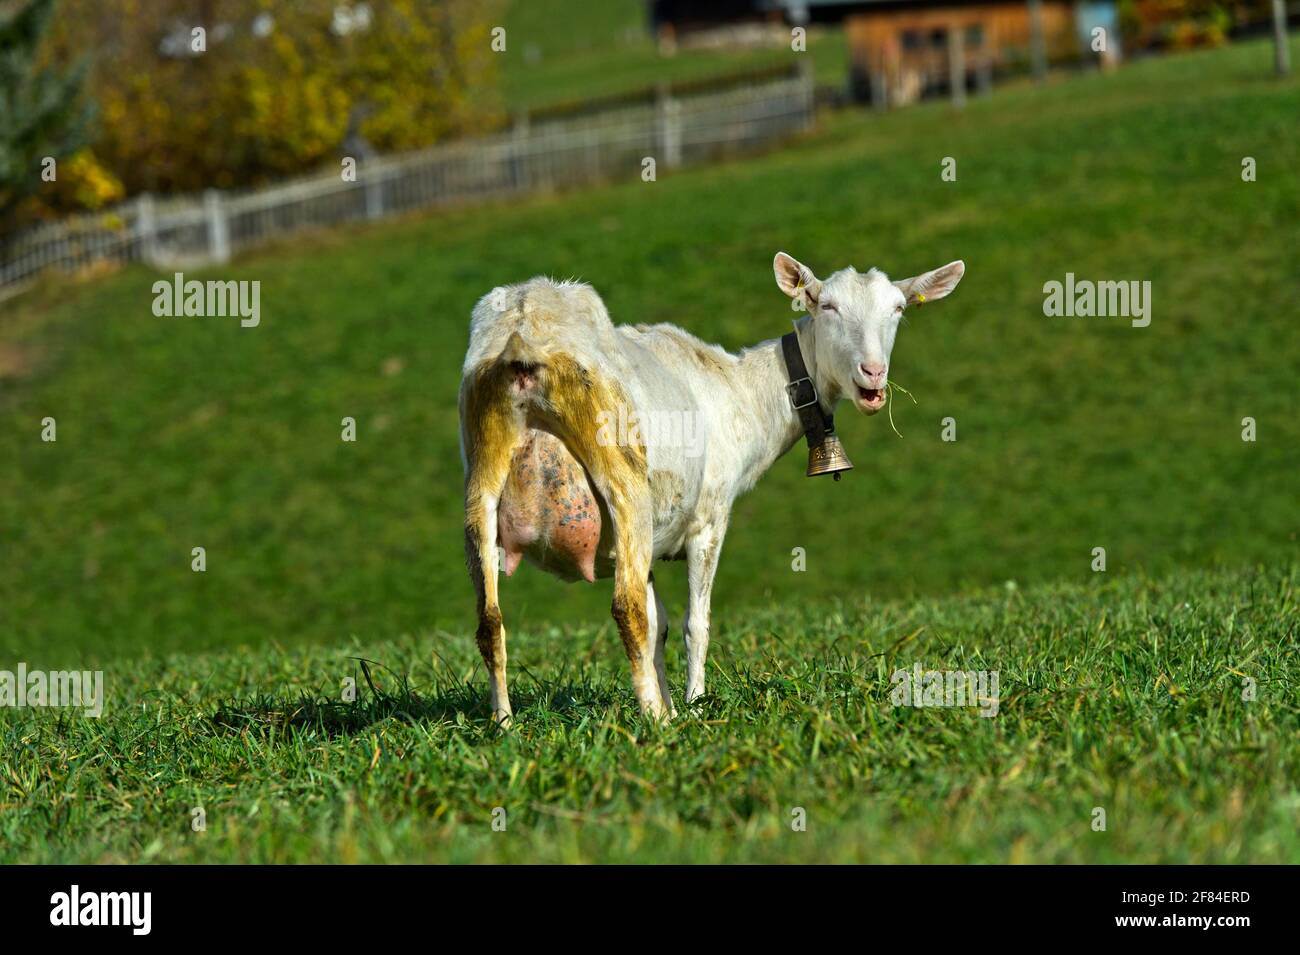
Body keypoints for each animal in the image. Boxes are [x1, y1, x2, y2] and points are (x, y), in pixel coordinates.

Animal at [460, 254, 967, 722]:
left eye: (898, 308)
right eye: (827, 306)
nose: (873, 374)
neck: (737, 390)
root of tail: (525, 333)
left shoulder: (653, 540)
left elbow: (660, 625)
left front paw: (674, 703)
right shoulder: (709, 517)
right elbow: (694, 623)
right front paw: (692, 706)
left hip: (481, 483)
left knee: (490, 620)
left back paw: (504, 724)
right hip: (622, 479)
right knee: (626, 608)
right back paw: (653, 721)